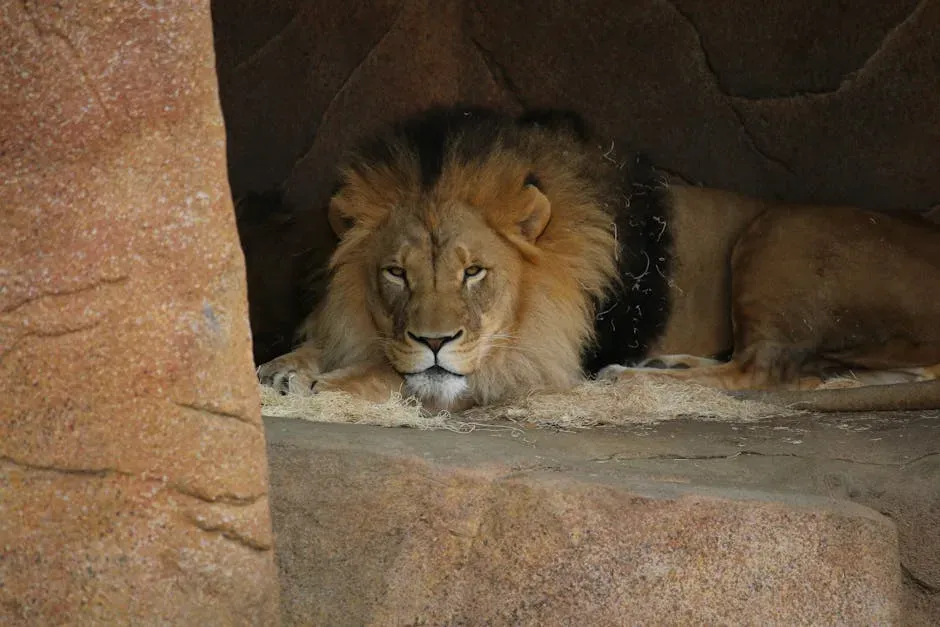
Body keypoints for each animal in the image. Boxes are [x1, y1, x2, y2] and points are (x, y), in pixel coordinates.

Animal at [259, 105, 940, 412]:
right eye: (396, 273)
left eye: (474, 271)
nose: (433, 339)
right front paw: (285, 364)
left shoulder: (533, 356)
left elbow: (415, 375)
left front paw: (331, 380)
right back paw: (667, 364)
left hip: (777, 231)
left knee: (764, 370)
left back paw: (632, 378)